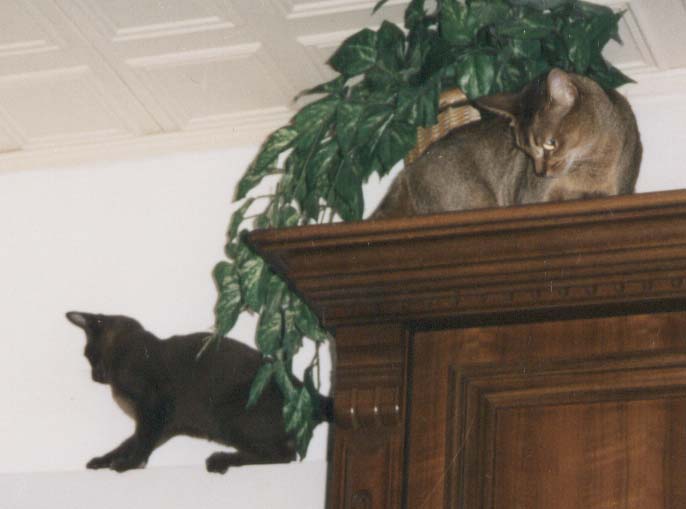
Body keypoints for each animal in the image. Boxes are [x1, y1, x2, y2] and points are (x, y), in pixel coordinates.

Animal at [66, 311, 332, 474]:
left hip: (227, 413)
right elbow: (128, 443)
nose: (94, 377)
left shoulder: (155, 410)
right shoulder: (163, 425)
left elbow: (139, 444)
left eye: (88, 356)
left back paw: (219, 460)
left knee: (283, 455)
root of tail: (303, 389)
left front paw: (128, 465)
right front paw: (103, 461)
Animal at [371, 68, 642, 219]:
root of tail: (407, 171)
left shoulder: (616, 192)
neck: (589, 165)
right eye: (527, 151)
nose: (540, 172)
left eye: (550, 144)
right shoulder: (533, 199)